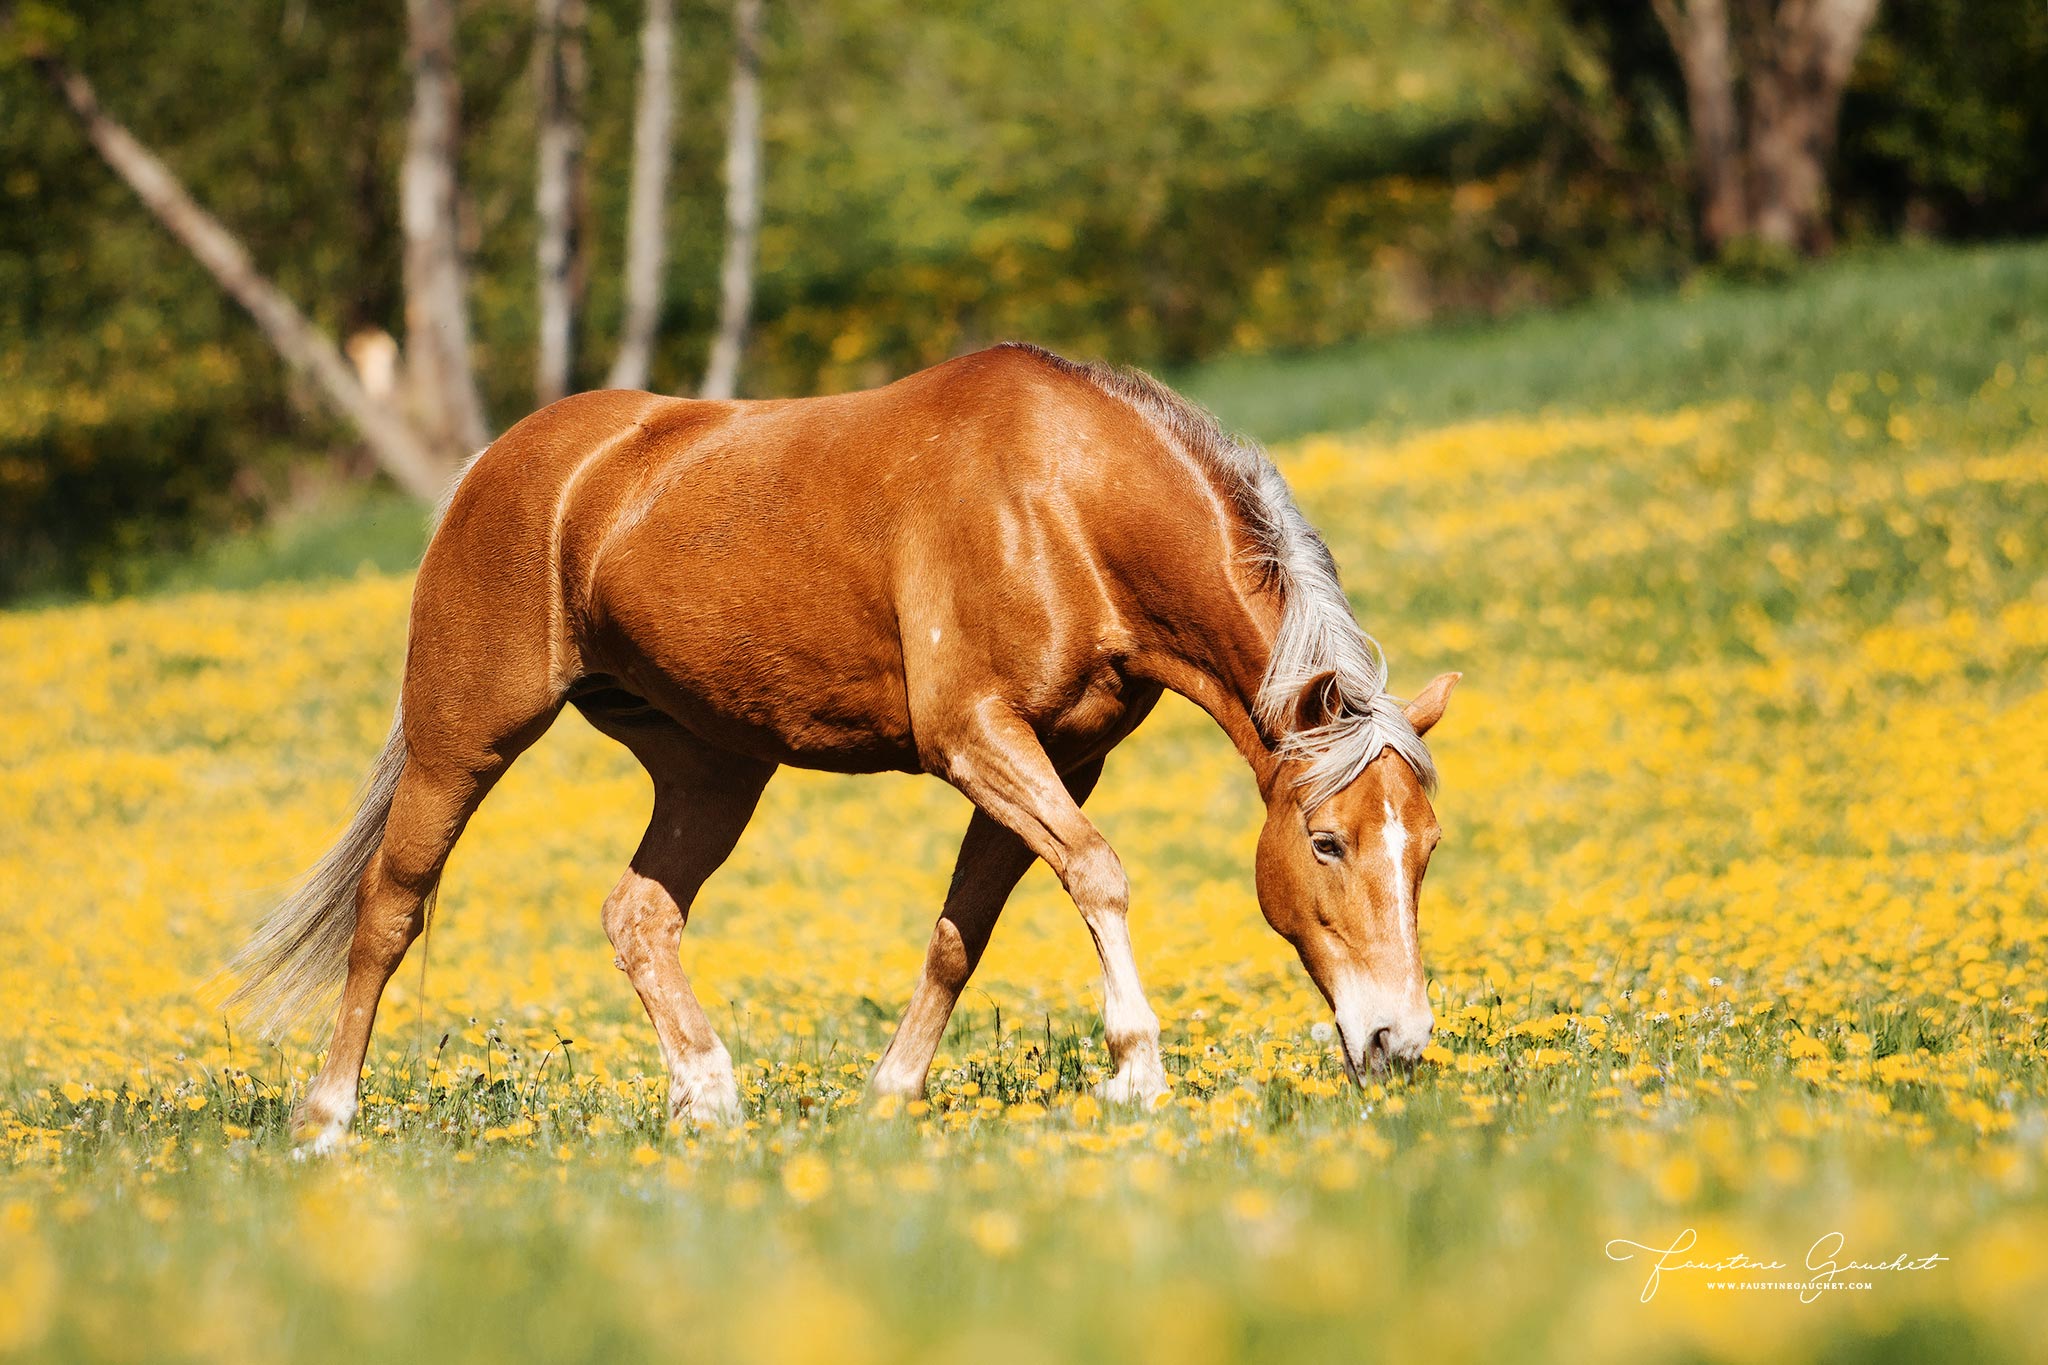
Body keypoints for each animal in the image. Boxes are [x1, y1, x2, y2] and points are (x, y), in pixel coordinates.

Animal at [228, 335, 1458, 1146]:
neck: (1066, 505)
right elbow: (1097, 872)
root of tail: (499, 464)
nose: (1396, 1041)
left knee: (638, 914)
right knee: (391, 907)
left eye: (1428, 847)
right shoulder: (976, 738)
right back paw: (327, 1121)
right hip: (463, 735)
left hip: (714, 765)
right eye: (1327, 842)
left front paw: (889, 1094)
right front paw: (1135, 1070)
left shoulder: (1058, 758)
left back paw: (708, 1097)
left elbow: (964, 930)